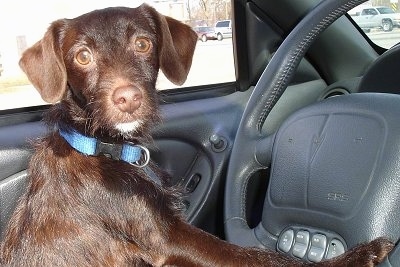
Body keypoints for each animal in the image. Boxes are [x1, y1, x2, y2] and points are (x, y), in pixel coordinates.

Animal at [0, 4, 394, 267]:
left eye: (143, 44)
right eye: (82, 56)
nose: (128, 98)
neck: (101, 146)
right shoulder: (168, 238)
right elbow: (263, 258)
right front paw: (360, 255)